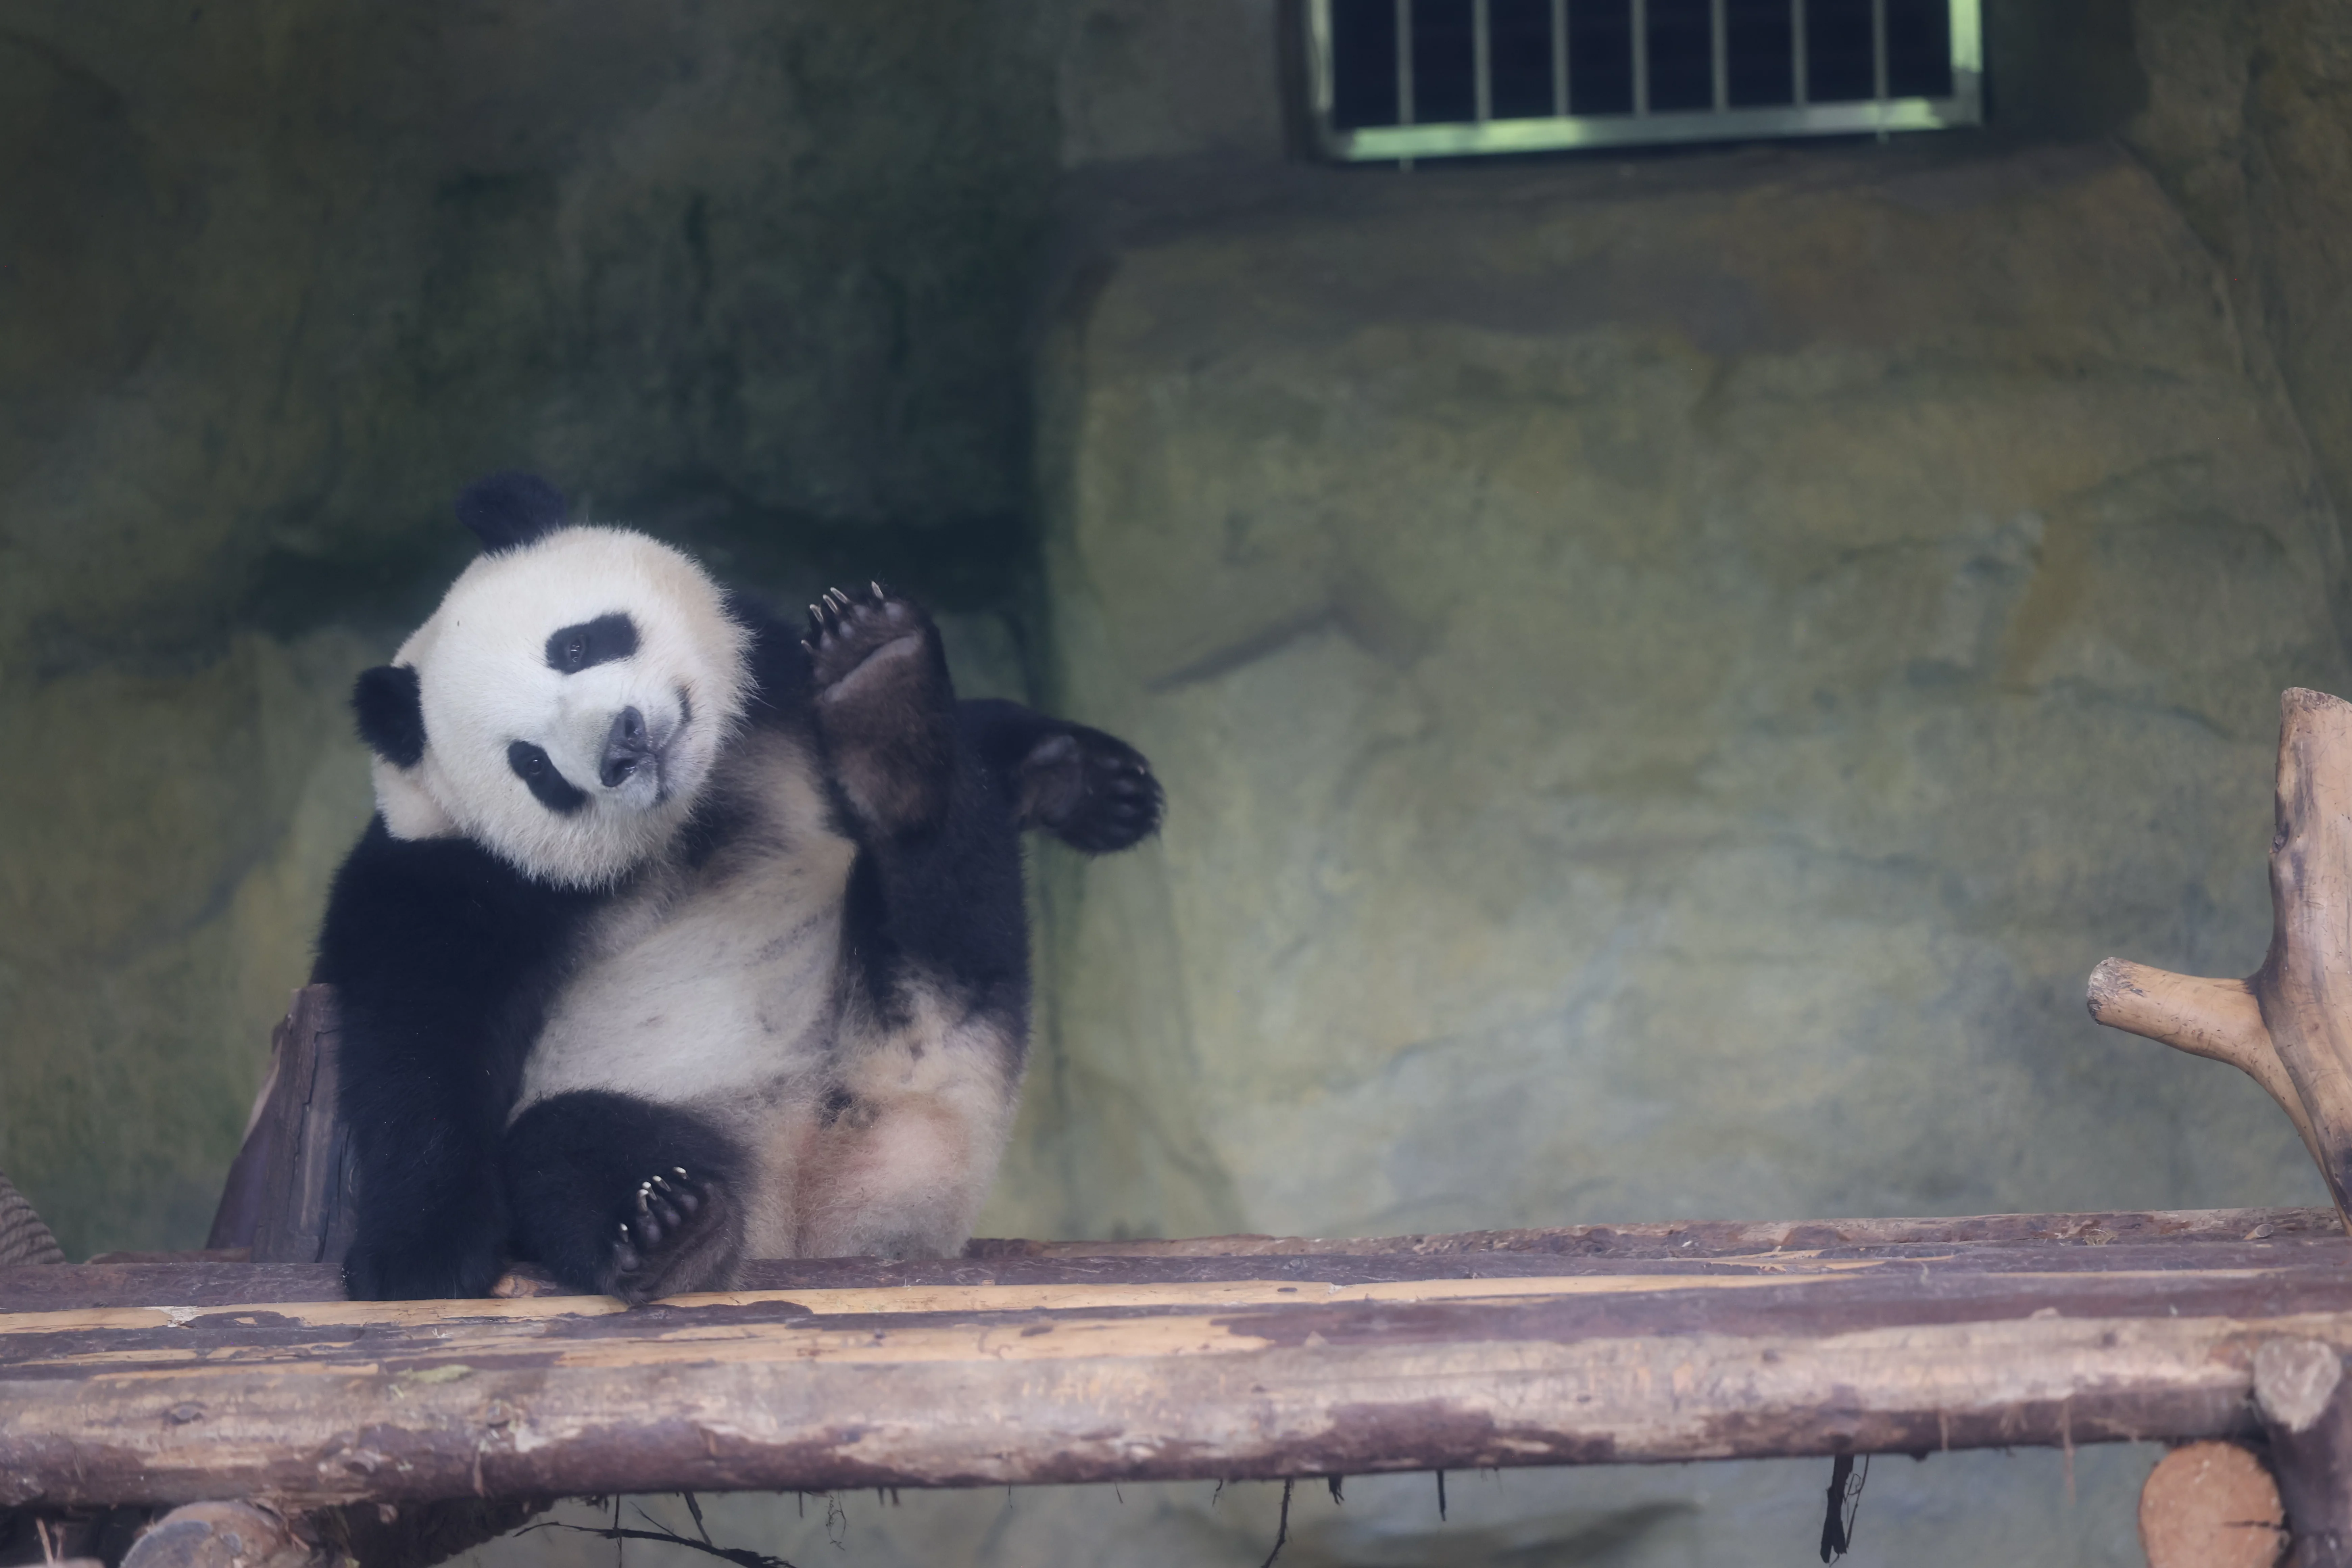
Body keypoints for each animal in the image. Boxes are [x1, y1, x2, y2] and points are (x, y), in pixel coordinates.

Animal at [317, 472, 1162, 1304]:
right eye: (531, 764)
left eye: (577, 644)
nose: (624, 744)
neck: (692, 813)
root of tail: (821, 1216)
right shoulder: (457, 875)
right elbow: (417, 1039)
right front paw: (421, 1257)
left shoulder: (773, 697)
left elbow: (978, 735)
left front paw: (1088, 782)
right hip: (694, 1103)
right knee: (565, 1142)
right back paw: (670, 1234)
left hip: (941, 1049)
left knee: (947, 876)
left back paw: (884, 695)